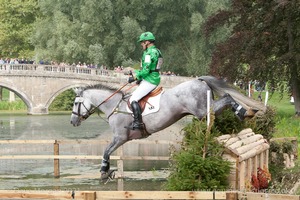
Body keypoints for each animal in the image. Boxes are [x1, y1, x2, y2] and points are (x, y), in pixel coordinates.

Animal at [69, 76, 264, 180]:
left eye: (76, 103)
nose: (72, 121)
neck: (114, 106)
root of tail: (199, 80)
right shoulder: (122, 139)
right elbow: (107, 151)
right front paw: (107, 171)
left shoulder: (120, 138)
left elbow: (106, 151)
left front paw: (104, 172)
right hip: (205, 110)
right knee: (225, 99)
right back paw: (246, 112)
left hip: (203, 111)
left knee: (227, 97)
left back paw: (244, 112)